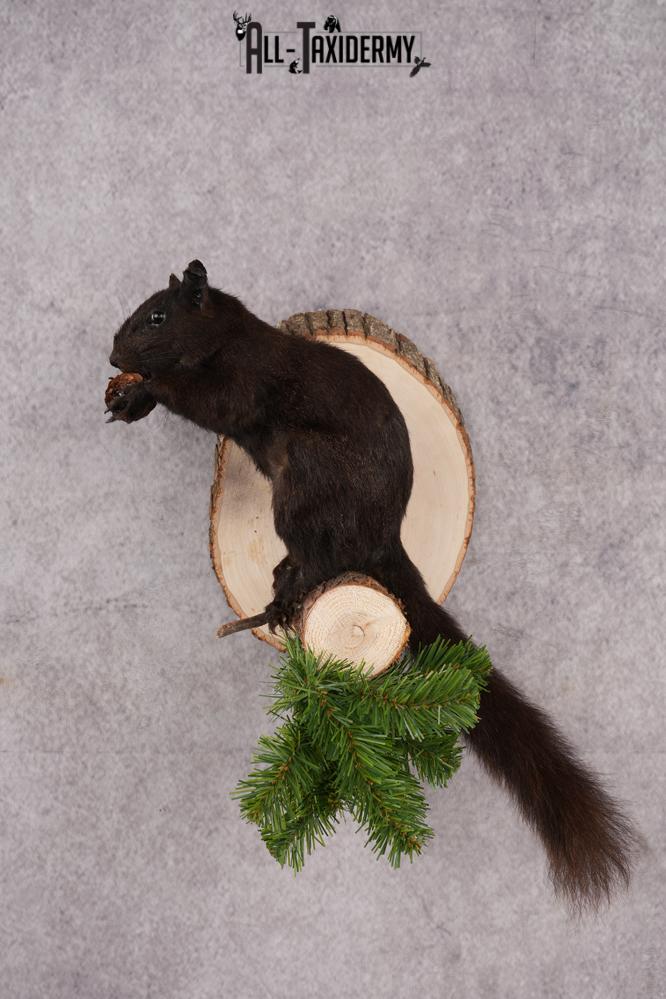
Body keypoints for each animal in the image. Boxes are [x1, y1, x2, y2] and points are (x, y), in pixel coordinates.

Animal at [107, 259, 637, 908]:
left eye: (157, 316)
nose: (113, 354)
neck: (230, 339)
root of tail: (384, 536)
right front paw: (130, 398)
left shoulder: (245, 382)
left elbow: (207, 402)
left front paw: (148, 388)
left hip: (307, 474)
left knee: (322, 555)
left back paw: (283, 599)